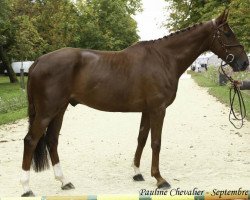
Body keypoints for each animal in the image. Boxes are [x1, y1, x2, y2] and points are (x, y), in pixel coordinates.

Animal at [19, 10, 248, 196]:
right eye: (228, 33)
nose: (244, 62)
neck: (164, 58)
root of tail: (37, 62)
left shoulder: (147, 110)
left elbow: (141, 139)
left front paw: (137, 173)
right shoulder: (158, 109)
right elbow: (156, 142)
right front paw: (160, 179)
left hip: (60, 110)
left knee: (52, 141)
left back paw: (64, 181)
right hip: (47, 111)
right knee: (31, 140)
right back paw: (26, 187)